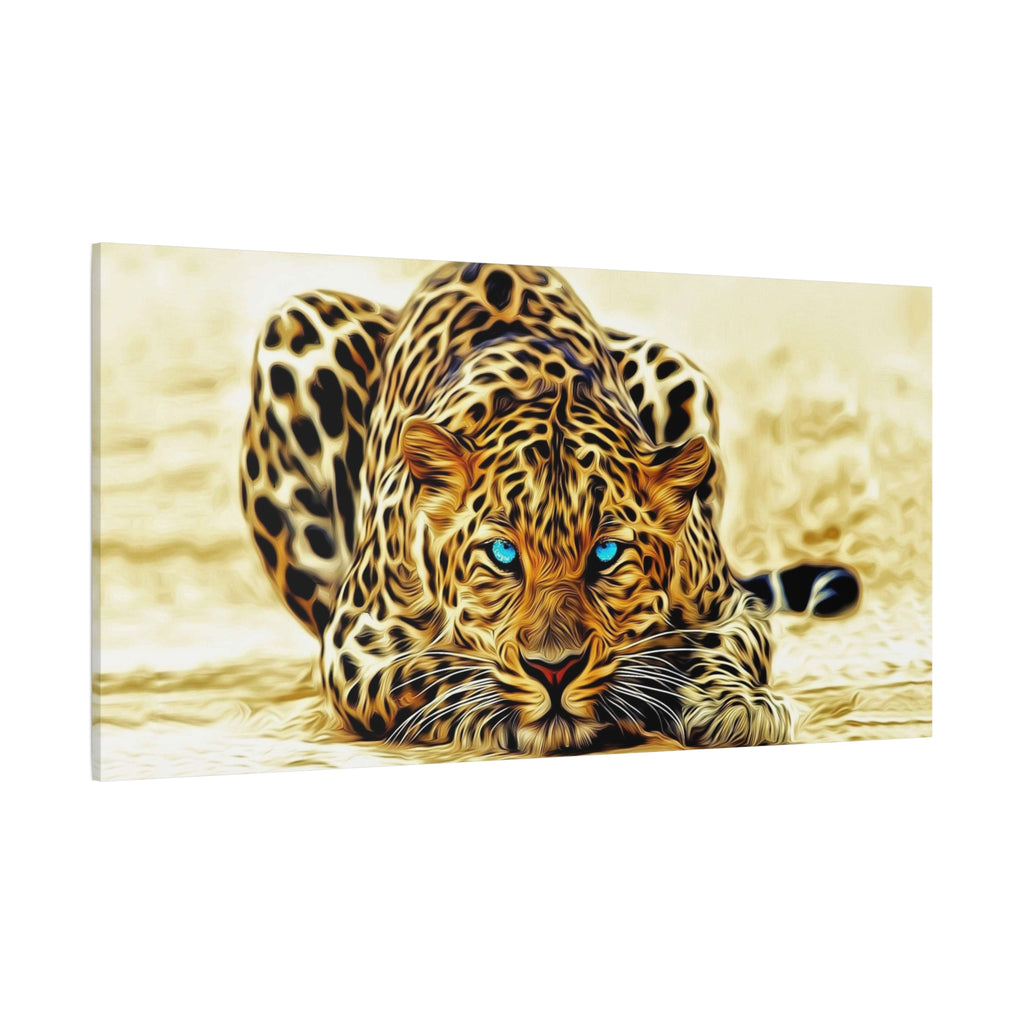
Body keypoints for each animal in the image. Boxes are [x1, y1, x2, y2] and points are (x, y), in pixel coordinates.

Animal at [239, 262, 859, 756]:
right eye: (502, 554)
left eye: (606, 553)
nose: (554, 669)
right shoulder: (355, 644)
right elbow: (429, 671)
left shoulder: (730, 606)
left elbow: (725, 646)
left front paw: (736, 706)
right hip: (294, 327)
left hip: (675, 367)